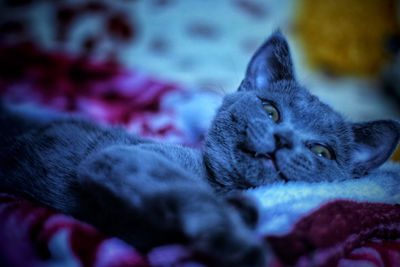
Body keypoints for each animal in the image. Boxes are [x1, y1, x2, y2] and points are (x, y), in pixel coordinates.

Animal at [0, 31, 400, 267]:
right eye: (270, 110)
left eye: (322, 152)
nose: (284, 138)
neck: (218, 183)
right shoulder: (124, 156)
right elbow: (191, 193)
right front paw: (240, 244)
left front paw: (242, 212)